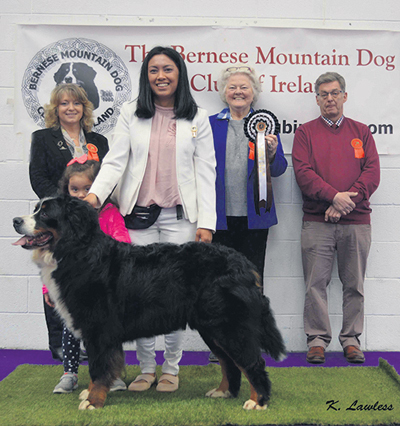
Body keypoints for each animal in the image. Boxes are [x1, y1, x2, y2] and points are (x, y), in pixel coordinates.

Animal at [12, 195, 286, 412]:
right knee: (230, 363)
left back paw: (258, 401)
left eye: (45, 213)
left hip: (228, 326)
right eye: (36, 208)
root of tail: (243, 263)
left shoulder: (98, 330)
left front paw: (93, 402)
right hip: (212, 328)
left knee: (252, 362)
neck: (78, 251)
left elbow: (98, 369)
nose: (15, 220)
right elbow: (99, 368)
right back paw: (223, 392)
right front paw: (89, 394)